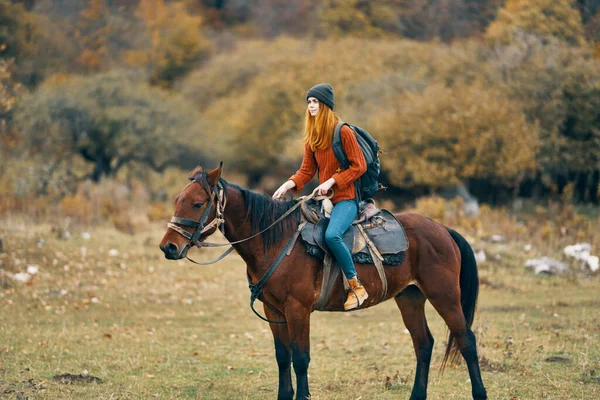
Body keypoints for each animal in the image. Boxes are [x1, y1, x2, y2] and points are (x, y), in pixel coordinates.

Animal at [159, 163, 488, 400]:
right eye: (177, 200)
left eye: (197, 203)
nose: (168, 247)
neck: (276, 241)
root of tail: (443, 229)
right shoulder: (273, 311)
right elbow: (283, 357)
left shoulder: (297, 309)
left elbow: (301, 358)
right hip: (410, 297)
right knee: (423, 343)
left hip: (444, 296)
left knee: (466, 341)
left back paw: (479, 393)